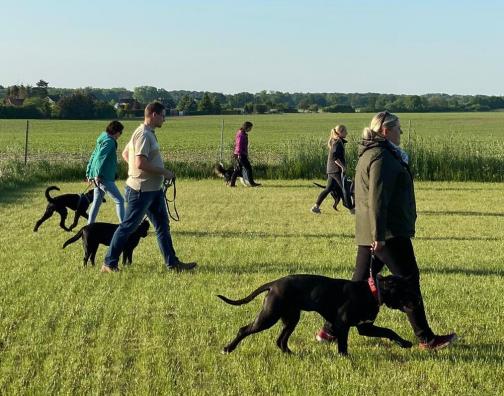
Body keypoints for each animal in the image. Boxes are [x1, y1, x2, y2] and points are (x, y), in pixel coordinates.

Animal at [219, 274, 416, 354]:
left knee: (281, 340)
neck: (372, 291)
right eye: (405, 291)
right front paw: (345, 358)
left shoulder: (365, 327)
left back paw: (290, 354)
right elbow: (343, 344)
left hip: (291, 319)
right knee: (244, 330)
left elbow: (388, 331)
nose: (418, 302)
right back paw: (228, 348)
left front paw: (405, 343)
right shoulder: (343, 325)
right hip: (269, 317)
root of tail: (273, 284)